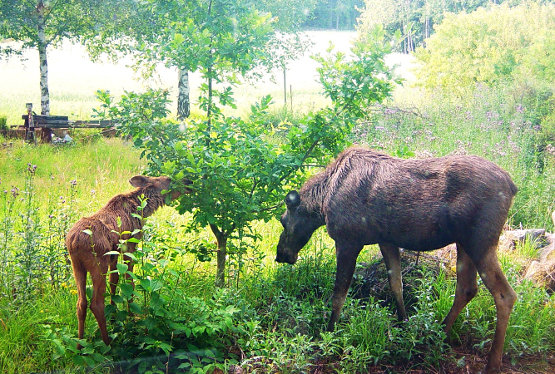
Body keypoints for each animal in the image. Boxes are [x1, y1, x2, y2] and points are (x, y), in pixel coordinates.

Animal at [276, 147, 520, 374]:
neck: (322, 201)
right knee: (467, 288)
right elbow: (396, 285)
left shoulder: (348, 240)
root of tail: (512, 185)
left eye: (283, 220)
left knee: (505, 294)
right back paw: (439, 333)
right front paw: (404, 325)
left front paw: (328, 334)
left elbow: (338, 296)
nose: (280, 255)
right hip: (464, 243)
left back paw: (492, 362)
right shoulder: (386, 240)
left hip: (480, 242)